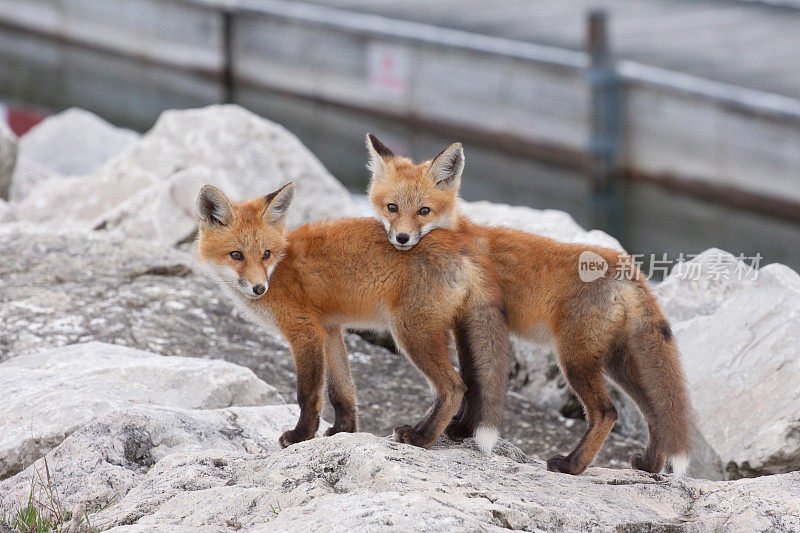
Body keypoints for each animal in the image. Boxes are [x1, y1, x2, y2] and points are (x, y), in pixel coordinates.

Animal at [195, 182, 510, 454]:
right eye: (236, 255)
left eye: (266, 254)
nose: (259, 288)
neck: (281, 268)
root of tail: (465, 245)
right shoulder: (330, 329)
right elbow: (342, 391)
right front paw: (343, 431)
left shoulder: (304, 330)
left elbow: (308, 394)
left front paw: (300, 436)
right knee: (469, 384)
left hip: (411, 333)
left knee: (454, 387)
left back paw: (422, 437)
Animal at [366, 133, 692, 474]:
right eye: (392, 207)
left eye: (424, 211)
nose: (402, 238)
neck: (457, 235)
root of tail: (627, 267)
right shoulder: (465, 325)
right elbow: (472, 379)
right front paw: (463, 429)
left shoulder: (472, 320)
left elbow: (474, 380)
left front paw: (455, 431)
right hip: (617, 362)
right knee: (657, 413)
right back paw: (649, 465)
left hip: (575, 359)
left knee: (607, 413)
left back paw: (571, 464)